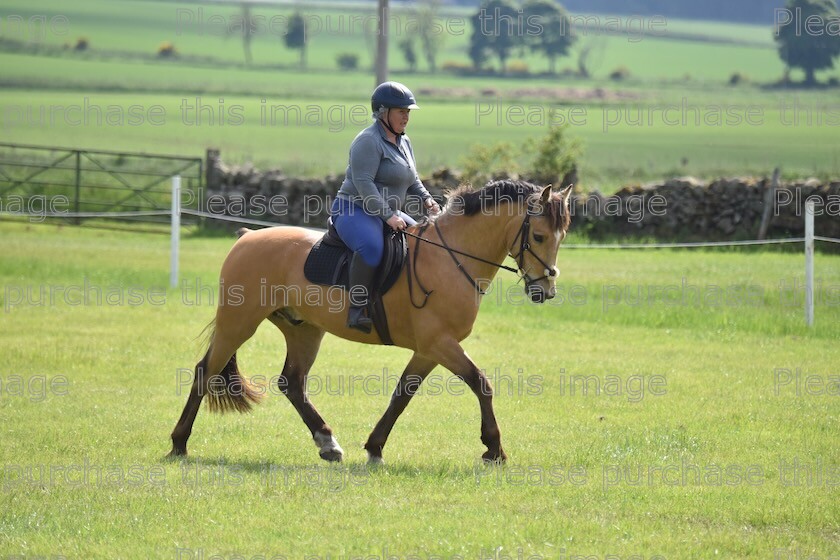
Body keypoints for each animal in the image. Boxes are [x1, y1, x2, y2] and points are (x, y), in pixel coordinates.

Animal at [169, 179, 576, 464]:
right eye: (539, 235)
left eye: (561, 237)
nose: (546, 290)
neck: (451, 258)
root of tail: (247, 236)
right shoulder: (440, 343)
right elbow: (482, 384)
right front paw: (494, 448)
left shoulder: (429, 350)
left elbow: (402, 394)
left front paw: (375, 446)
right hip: (239, 323)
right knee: (205, 371)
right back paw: (179, 443)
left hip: (304, 330)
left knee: (293, 383)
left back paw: (327, 443)